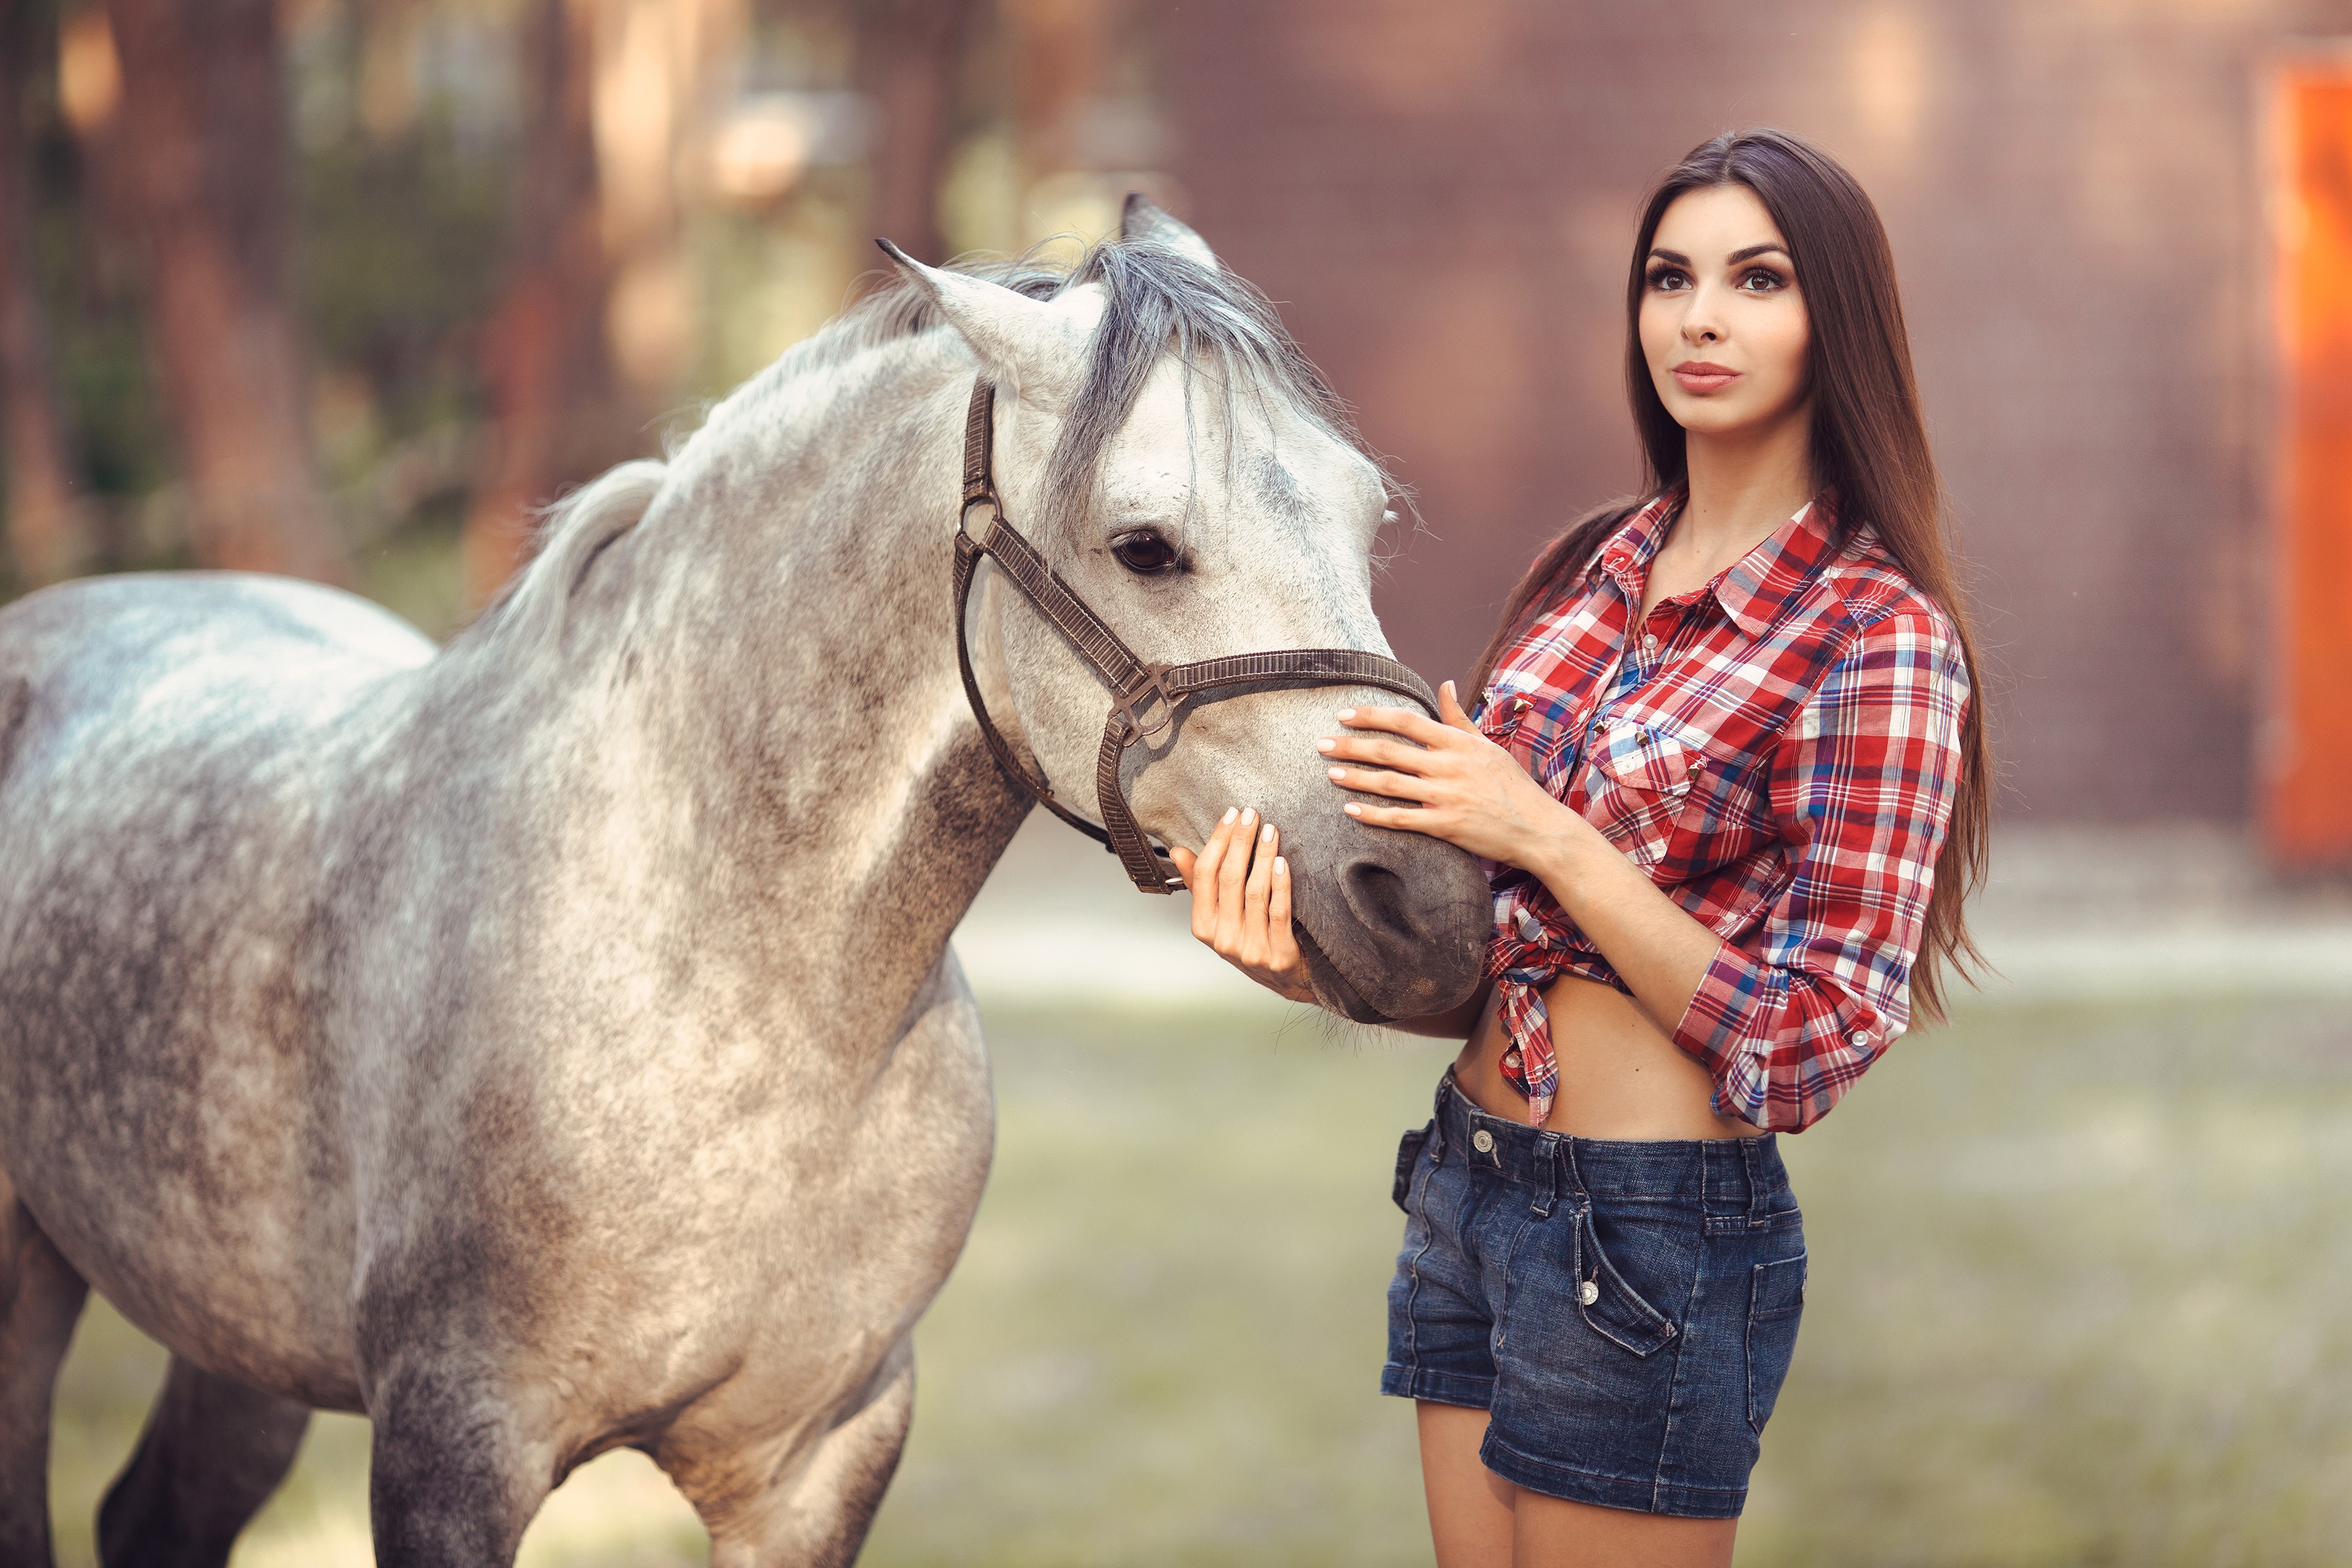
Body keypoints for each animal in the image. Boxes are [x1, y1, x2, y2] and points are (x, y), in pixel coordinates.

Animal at [0, 199, 1488, 1566]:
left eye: (1368, 517)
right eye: (1144, 546)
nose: (1435, 903)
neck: (727, 987)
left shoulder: (821, 1460)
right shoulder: (450, 1450)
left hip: (235, 1333)